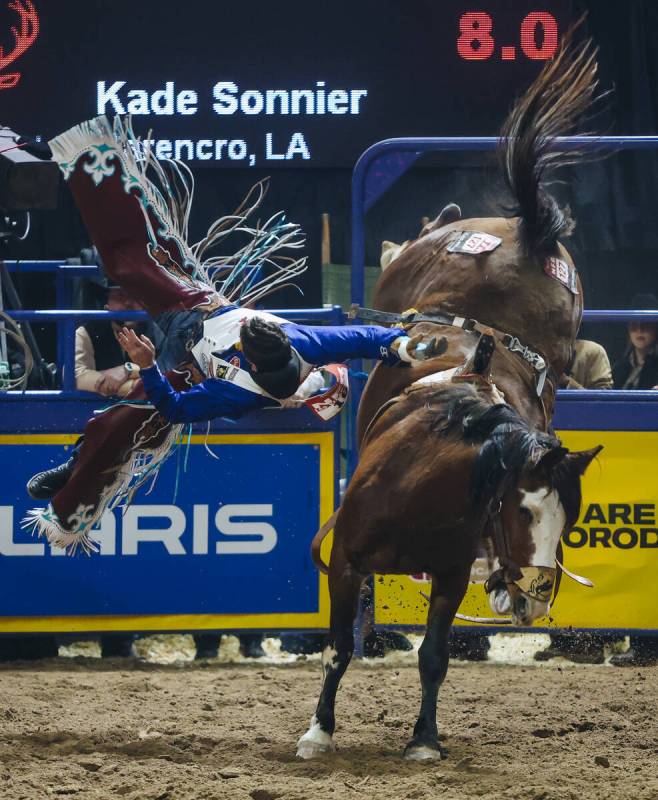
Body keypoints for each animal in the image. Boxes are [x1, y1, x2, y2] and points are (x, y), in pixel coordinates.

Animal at [298, 26, 604, 764]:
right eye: (520, 510)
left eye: (568, 521)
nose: (533, 598)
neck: (417, 482)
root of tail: (529, 231)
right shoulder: (344, 562)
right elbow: (337, 650)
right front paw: (319, 731)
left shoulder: (448, 574)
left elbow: (434, 656)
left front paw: (425, 740)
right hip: (406, 271)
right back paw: (432, 220)